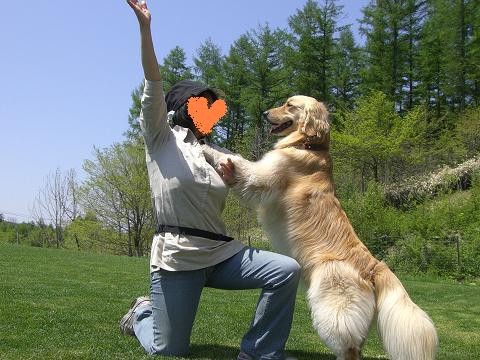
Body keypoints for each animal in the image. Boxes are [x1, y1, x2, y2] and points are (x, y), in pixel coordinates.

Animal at [202, 96, 438, 360]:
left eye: (289, 105)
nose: (264, 113)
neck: (309, 145)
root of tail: (373, 266)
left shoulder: (261, 176)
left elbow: (238, 163)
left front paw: (206, 148)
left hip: (333, 305)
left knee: (348, 346)